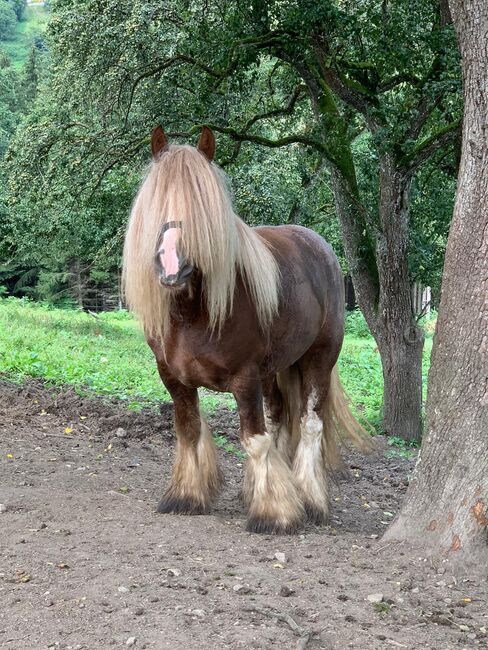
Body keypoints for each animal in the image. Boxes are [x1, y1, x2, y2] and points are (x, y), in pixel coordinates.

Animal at [123, 126, 370, 532]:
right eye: (158, 200)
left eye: (203, 204)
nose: (171, 265)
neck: (193, 315)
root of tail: (321, 246)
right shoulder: (173, 378)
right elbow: (189, 431)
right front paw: (187, 495)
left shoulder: (244, 378)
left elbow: (255, 440)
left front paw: (275, 513)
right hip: (274, 371)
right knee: (279, 418)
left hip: (318, 361)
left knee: (310, 424)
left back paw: (310, 499)